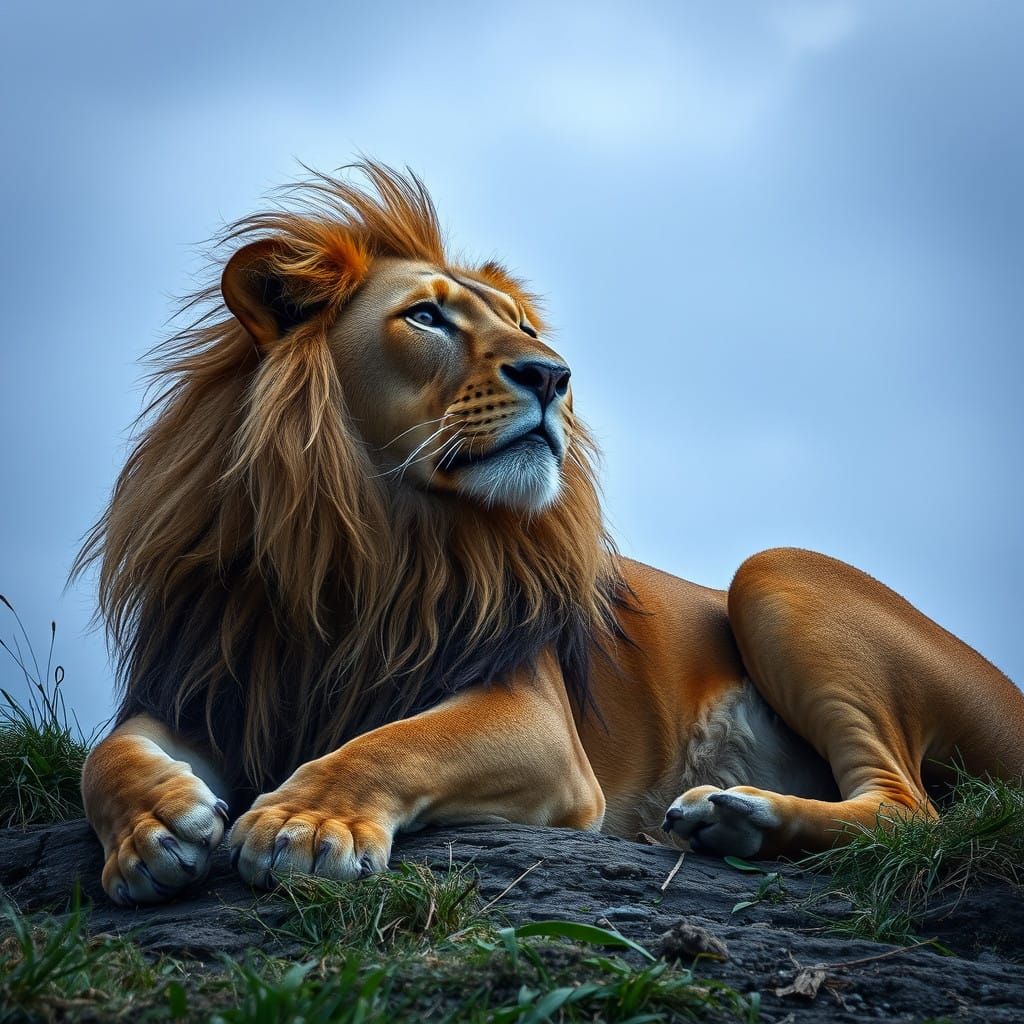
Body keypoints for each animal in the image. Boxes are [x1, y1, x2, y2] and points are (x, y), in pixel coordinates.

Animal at [76, 161, 1024, 905]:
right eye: (427, 318)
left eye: (524, 327)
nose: (554, 375)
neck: (367, 541)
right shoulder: (205, 683)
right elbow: (105, 753)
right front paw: (152, 831)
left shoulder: (535, 719)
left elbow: (396, 740)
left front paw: (307, 821)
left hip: (776, 570)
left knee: (911, 808)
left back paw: (736, 812)